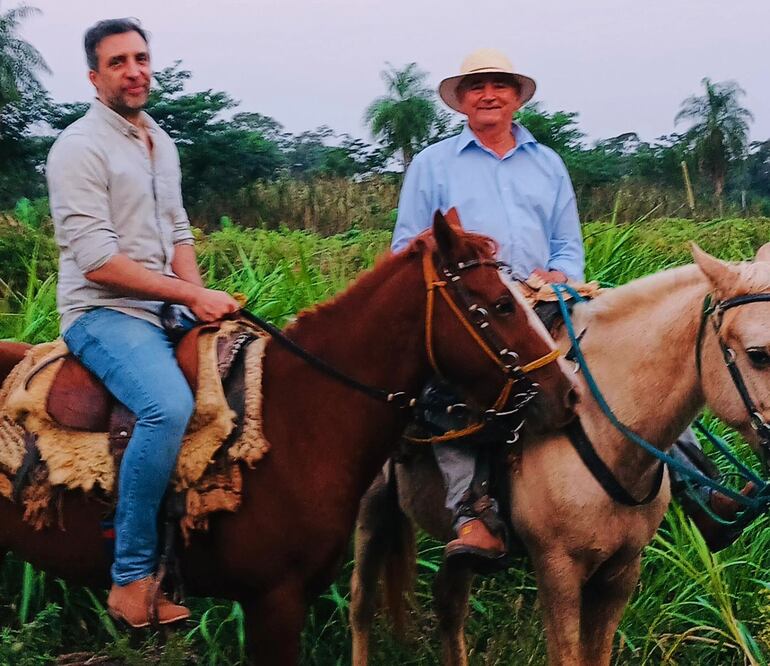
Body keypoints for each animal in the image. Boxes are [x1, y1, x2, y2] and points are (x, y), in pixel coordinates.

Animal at [352, 244, 770, 664]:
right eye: (758, 355)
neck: (602, 428)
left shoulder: (622, 570)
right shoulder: (558, 570)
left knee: (449, 604)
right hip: (369, 509)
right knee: (361, 608)